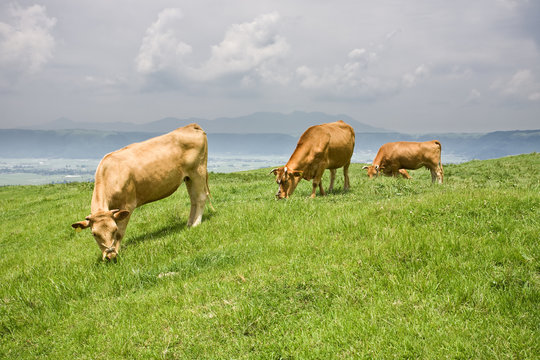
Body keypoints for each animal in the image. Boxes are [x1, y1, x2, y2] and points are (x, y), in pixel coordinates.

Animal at [70, 123, 209, 258]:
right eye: (94, 234)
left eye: (114, 230)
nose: (110, 255)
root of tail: (190, 126)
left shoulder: (128, 205)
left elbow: (121, 233)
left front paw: (117, 251)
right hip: (188, 177)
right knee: (193, 199)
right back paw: (189, 224)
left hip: (198, 171)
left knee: (201, 197)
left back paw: (196, 223)